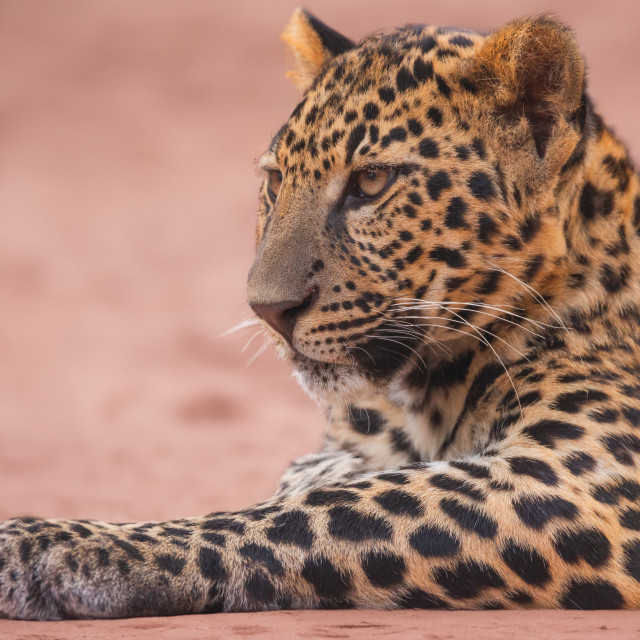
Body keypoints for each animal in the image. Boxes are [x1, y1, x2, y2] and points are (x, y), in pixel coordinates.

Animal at [1, 8, 640, 620]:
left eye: (371, 181)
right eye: (275, 179)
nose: (268, 309)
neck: (425, 395)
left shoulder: (580, 476)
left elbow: (316, 513)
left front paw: (56, 546)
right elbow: (313, 481)